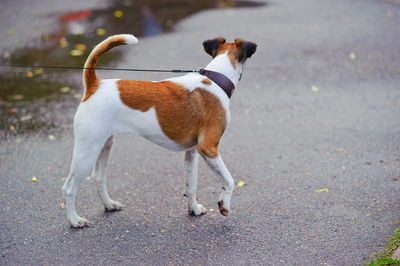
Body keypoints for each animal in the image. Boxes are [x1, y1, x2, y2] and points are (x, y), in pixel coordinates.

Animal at [62, 34, 256, 228]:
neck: (216, 79)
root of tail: (95, 85)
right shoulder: (209, 148)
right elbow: (229, 180)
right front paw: (224, 205)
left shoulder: (192, 153)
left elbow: (191, 186)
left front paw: (194, 209)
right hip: (87, 151)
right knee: (69, 188)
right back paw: (74, 220)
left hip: (104, 146)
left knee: (98, 178)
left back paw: (109, 205)